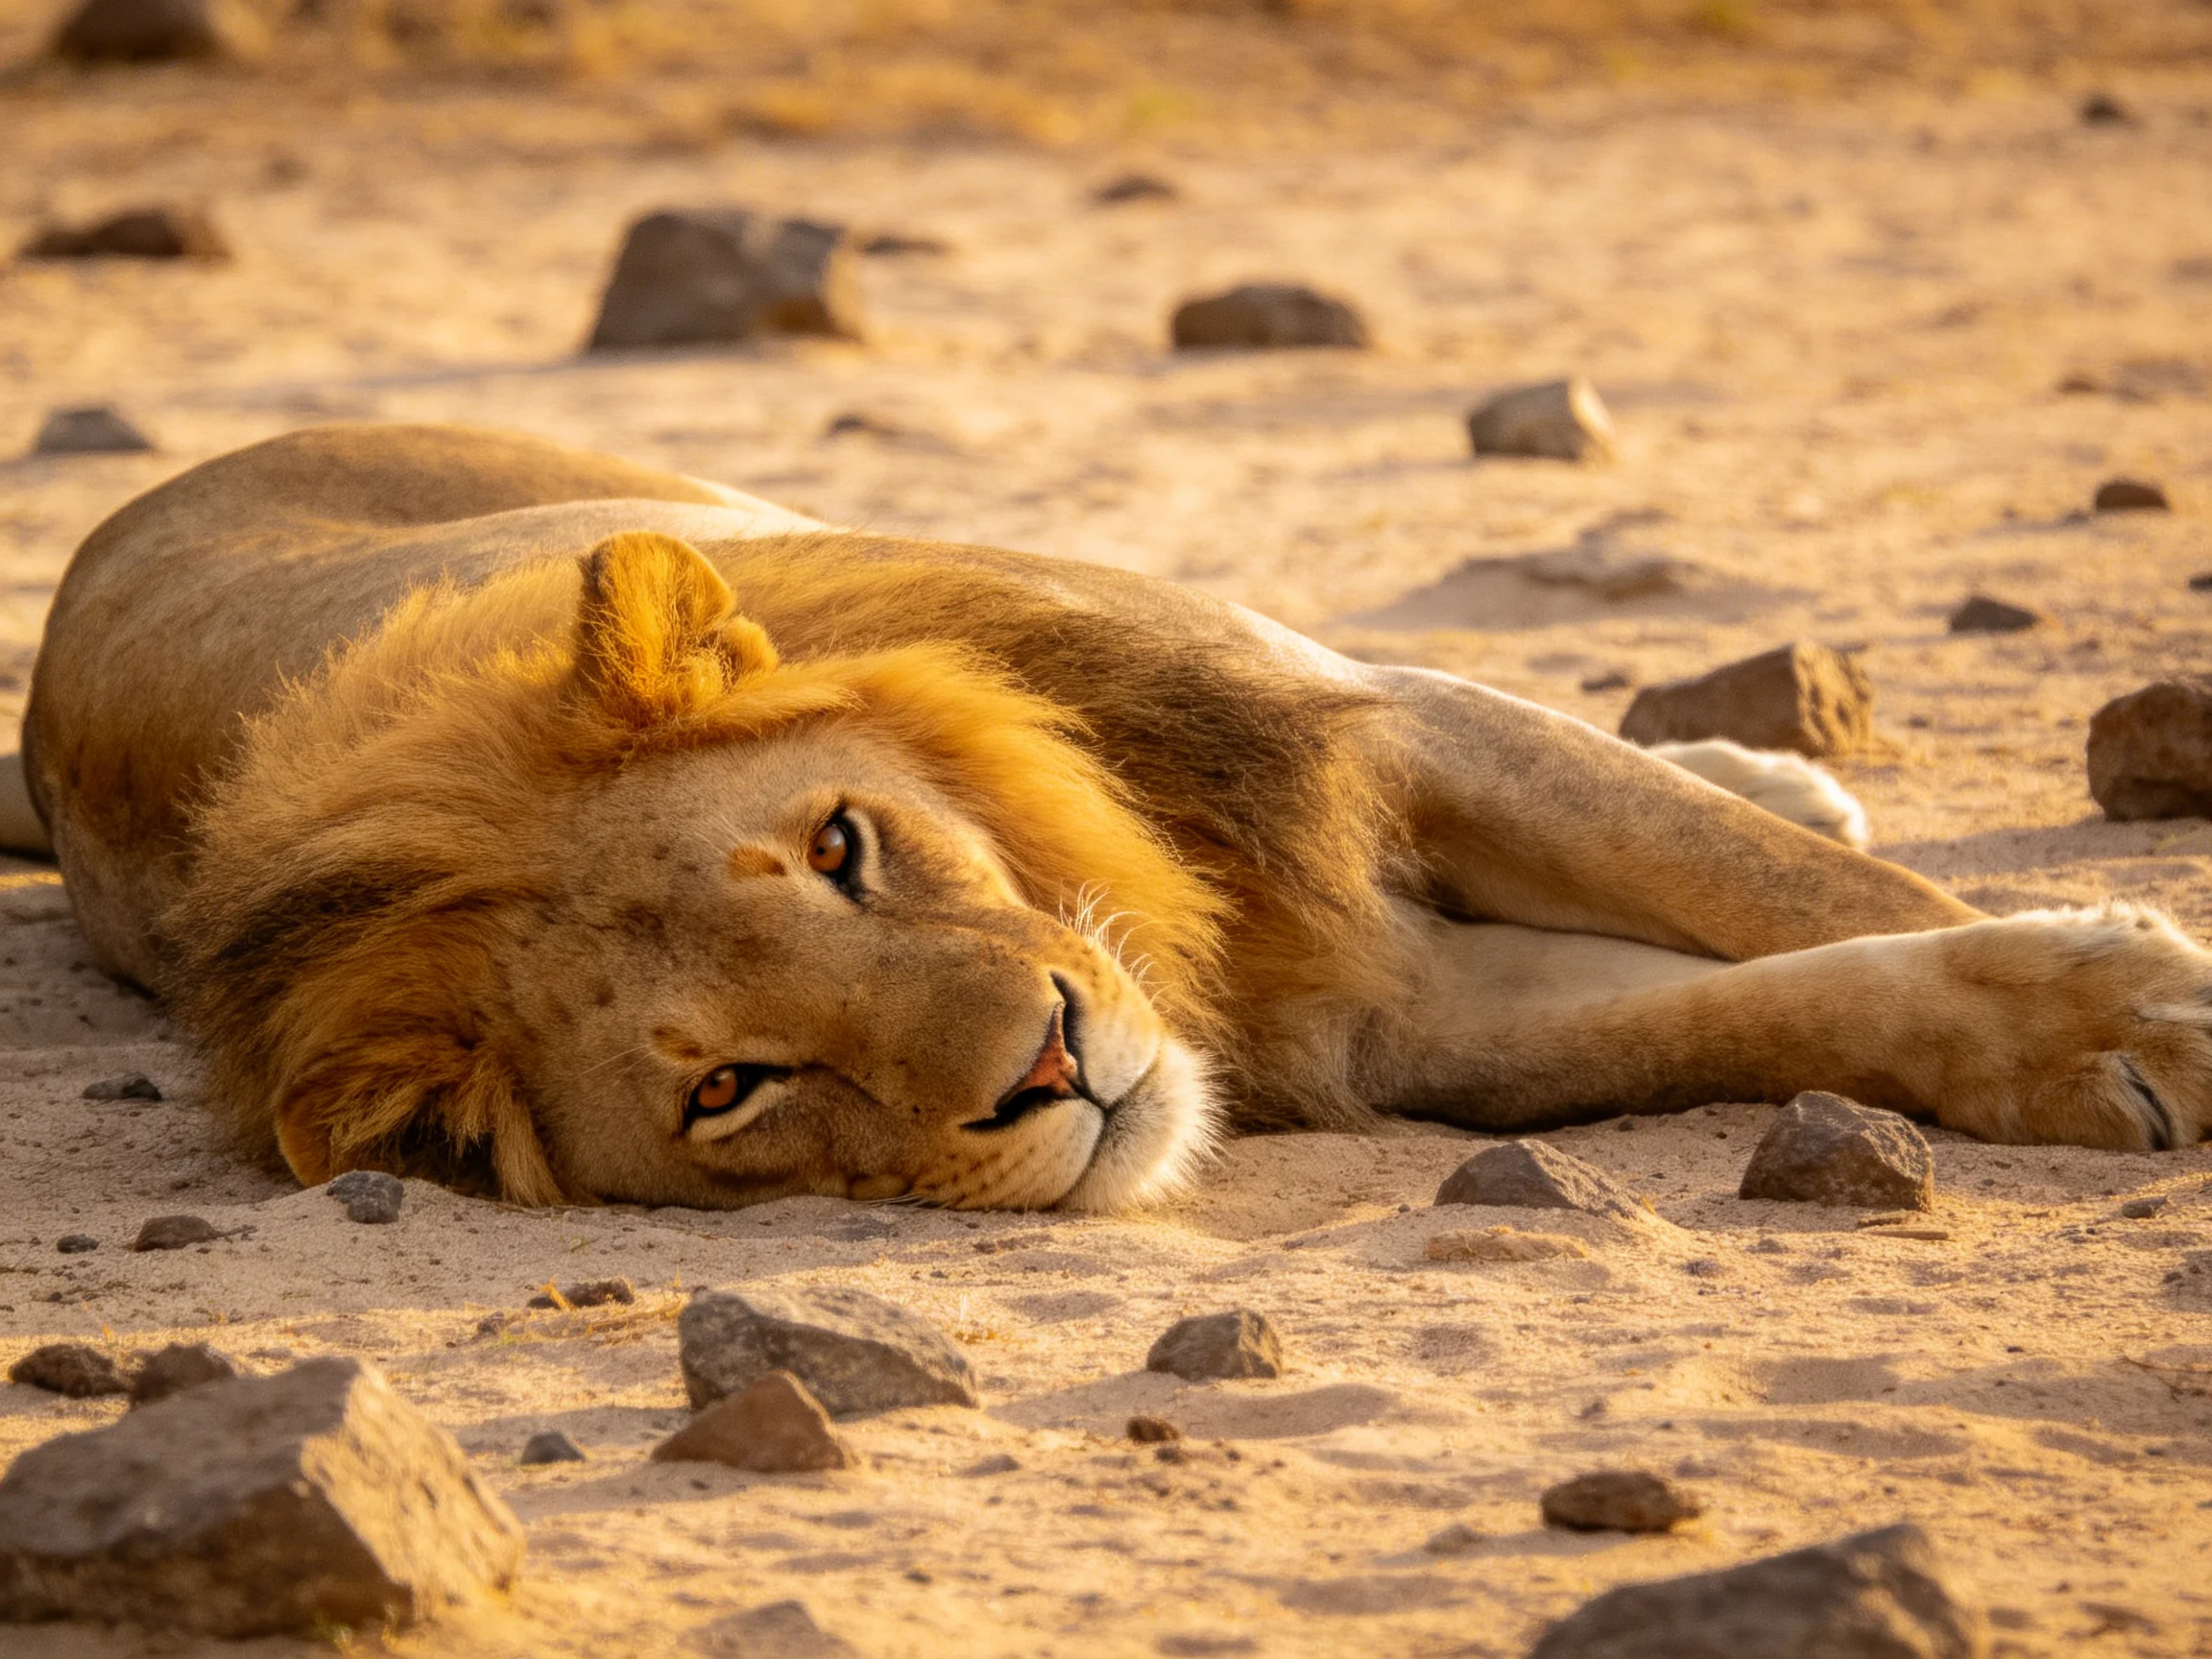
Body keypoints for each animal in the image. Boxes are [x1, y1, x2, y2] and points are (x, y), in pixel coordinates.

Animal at [19, 423, 2211, 1211]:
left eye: (841, 848)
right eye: (732, 1088)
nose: (1057, 1067)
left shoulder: (1358, 731)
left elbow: (1791, 888)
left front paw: (2143, 996)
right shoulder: (1386, 1017)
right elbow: (1765, 999)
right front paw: (2094, 1036)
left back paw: (1768, 753)